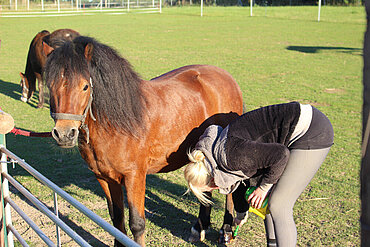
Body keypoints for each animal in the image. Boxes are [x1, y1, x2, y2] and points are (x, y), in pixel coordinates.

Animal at [42, 35, 243, 246]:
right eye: (50, 85)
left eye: (85, 86)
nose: (64, 133)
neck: (116, 124)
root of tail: (226, 77)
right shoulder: (104, 178)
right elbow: (117, 220)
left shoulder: (134, 177)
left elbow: (137, 223)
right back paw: (200, 226)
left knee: (229, 191)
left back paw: (226, 231)